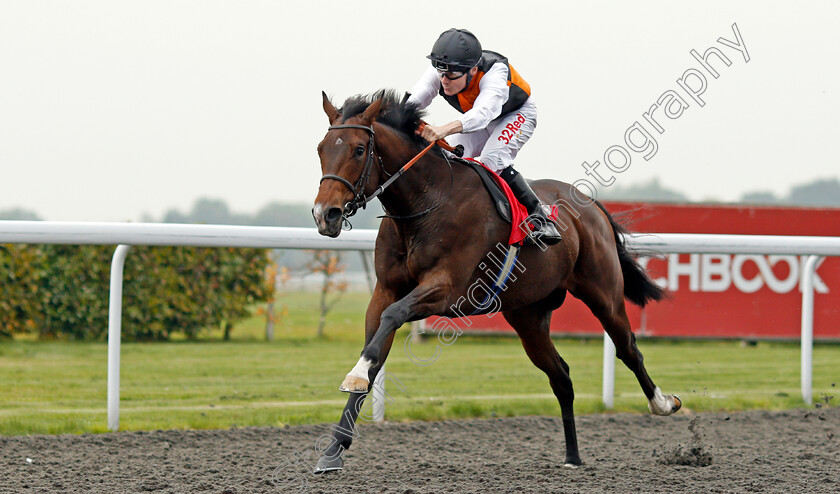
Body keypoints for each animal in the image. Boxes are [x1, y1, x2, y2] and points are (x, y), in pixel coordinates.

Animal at [312, 90, 680, 472]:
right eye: (321, 148)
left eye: (358, 149)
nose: (325, 215)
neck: (426, 203)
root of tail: (592, 206)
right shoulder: (385, 291)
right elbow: (377, 344)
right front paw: (333, 449)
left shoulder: (448, 290)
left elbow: (392, 317)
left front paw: (355, 375)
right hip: (528, 315)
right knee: (561, 376)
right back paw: (572, 456)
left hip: (604, 294)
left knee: (628, 348)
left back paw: (663, 403)